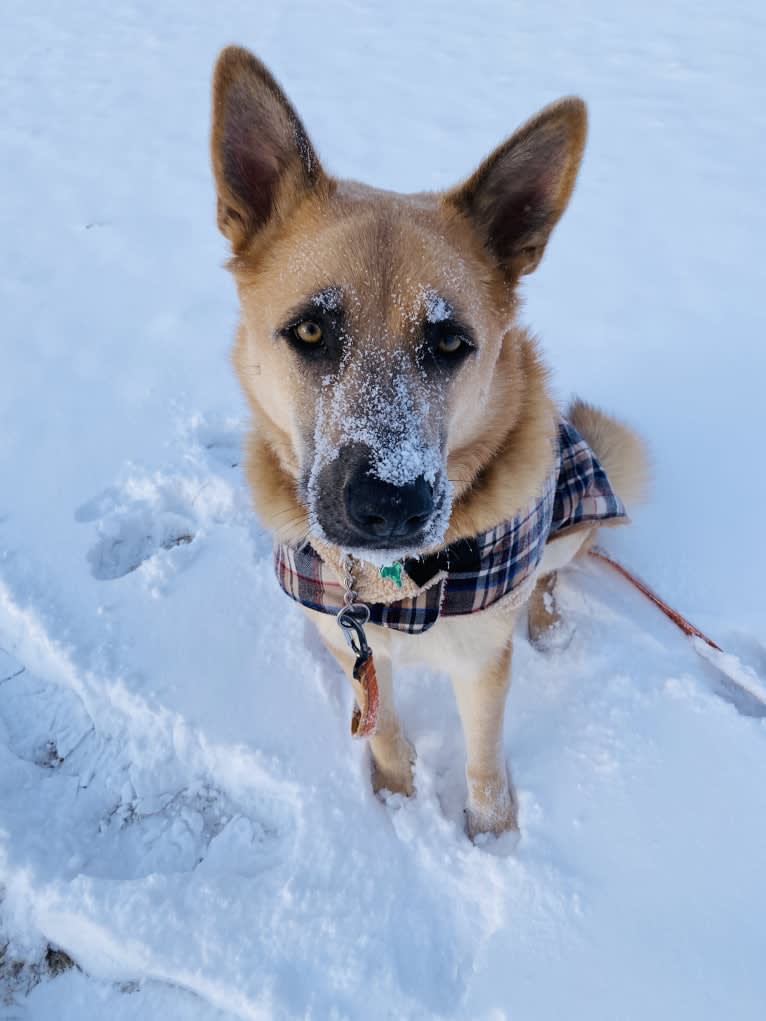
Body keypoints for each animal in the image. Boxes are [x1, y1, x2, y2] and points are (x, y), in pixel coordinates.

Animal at [210, 43, 649, 837]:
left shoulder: (481, 663)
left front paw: (491, 836)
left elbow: (483, 761)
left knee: (551, 575)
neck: (383, 590)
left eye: (449, 342)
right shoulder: (352, 645)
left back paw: (545, 620)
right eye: (311, 331)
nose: (390, 504)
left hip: (570, 518)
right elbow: (382, 727)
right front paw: (394, 792)